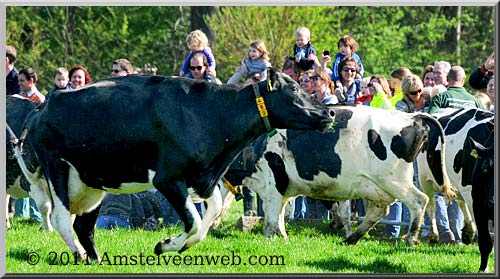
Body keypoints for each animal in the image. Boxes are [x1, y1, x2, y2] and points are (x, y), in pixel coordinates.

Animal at [13, 69, 334, 264]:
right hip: (57, 168)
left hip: (91, 180)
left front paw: (181, 245)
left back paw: (95, 258)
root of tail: (44, 105)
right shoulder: (168, 179)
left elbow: (208, 216)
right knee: (61, 218)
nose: (329, 112)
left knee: (83, 223)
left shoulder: (202, 177)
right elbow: (194, 220)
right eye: (294, 89)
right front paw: (165, 245)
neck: (210, 114)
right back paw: (80, 255)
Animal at [221, 105, 456, 247]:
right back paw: (351, 239)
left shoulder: (274, 182)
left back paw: (412, 238)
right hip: (374, 186)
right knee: (380, 210)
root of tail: (411, 116)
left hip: (395, 180)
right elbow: (279, 216)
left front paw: (268, 240)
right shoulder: (283, 189)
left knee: (419, 201)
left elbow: (270, 219)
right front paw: (283, 238)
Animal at [416, 108, 494, 272]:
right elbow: (485, 240)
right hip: (425, 178)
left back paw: (468, 232)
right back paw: (433, 235)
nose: (492, 203)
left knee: (460, 201)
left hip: (459, 185)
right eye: (485, 169)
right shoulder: (477, 200)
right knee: (431, 204)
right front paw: (484, 269)